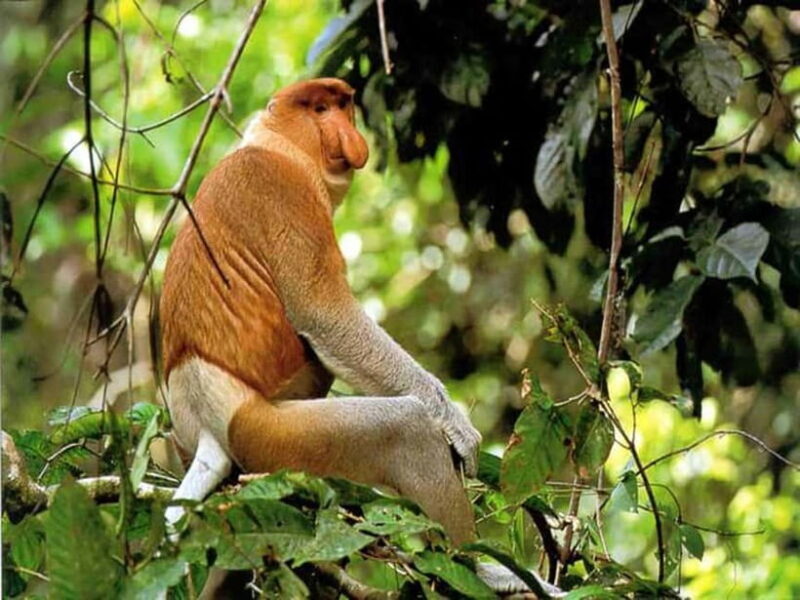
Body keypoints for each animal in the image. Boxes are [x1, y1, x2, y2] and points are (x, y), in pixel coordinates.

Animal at [160, 78, 560, 597]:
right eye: (318, 109)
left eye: (342, 105)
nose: (348, 135)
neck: (279, 147)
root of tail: (202, 420)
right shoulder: (279, 190)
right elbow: (324, 313)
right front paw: (455, 424)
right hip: (263, 434)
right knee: (404, 432)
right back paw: (478, 567)